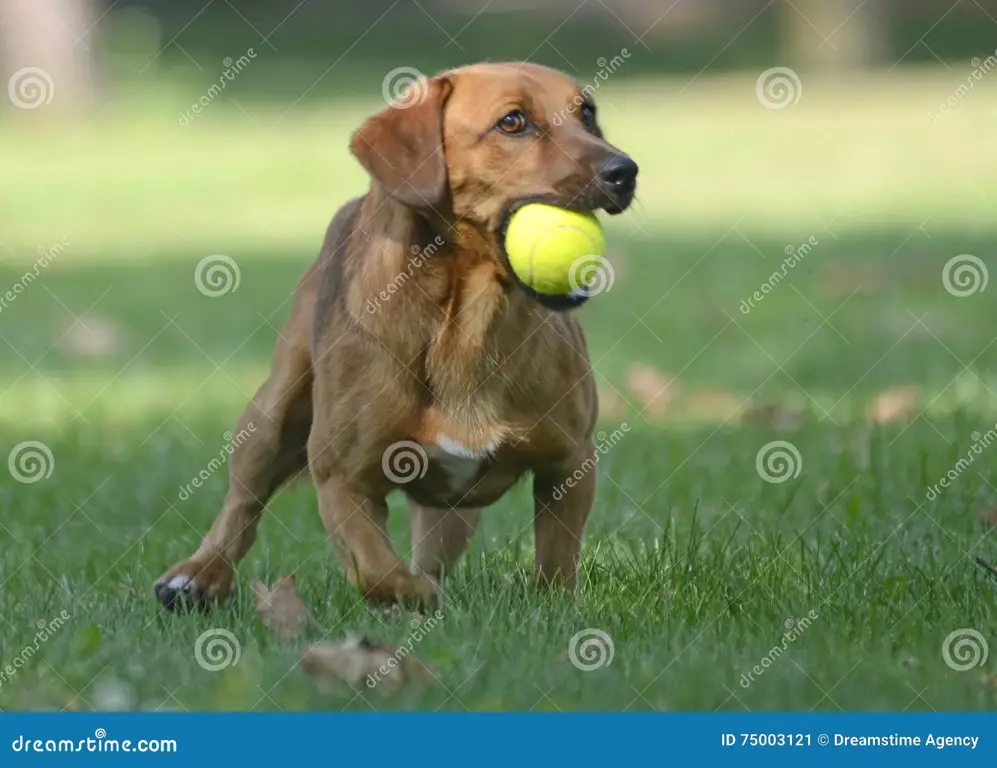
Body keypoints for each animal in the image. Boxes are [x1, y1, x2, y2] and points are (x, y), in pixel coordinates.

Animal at [156, 61, 640, 612]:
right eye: (513, 122)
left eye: (588, 113)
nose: (625, 170)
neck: (468, 327)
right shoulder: (342, 478)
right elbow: (375, 571)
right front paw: (415, 598)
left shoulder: (570, 462)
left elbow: (557, 564)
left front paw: (550, 610)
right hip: (270, 414)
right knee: (241, 505)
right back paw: (197, 575)